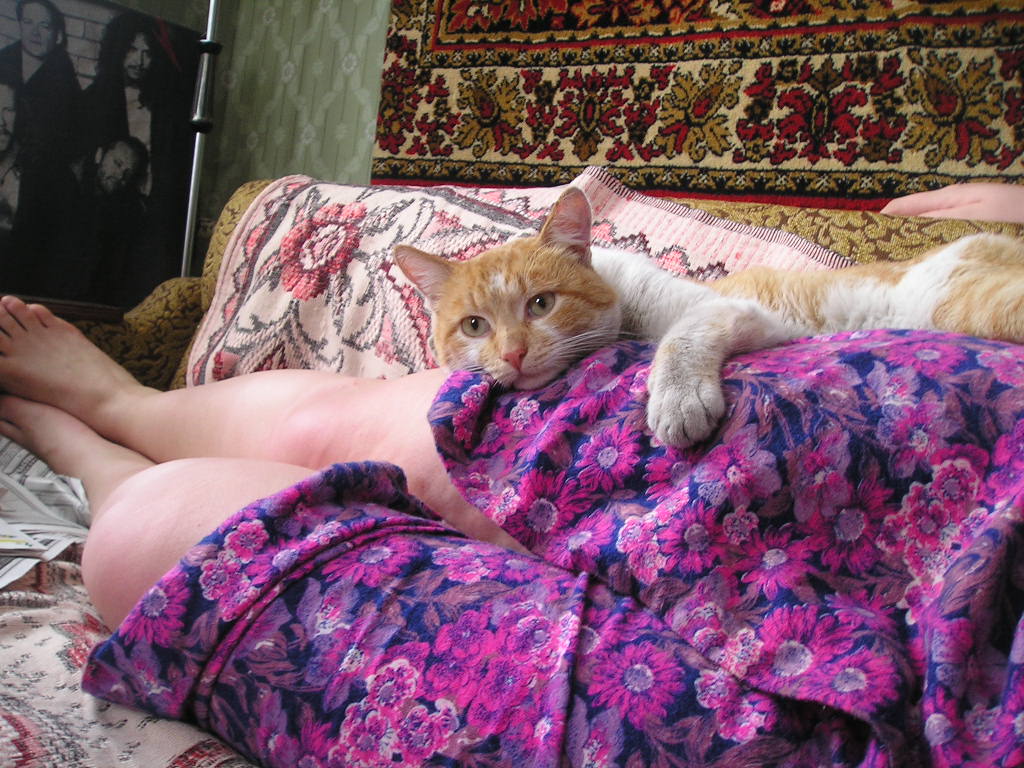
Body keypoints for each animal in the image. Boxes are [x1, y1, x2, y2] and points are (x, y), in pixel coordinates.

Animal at [394, 186, 1024, 448]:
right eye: (474, 326)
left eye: (541, 304)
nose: (513, 353)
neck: (623, 299)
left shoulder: (737, 308)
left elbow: (679, 339)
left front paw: (676, 402)